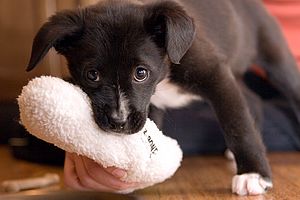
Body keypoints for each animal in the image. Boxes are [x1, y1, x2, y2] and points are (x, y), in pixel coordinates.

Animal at [26, 0, 300, 195]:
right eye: (92, 75)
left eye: (141, 73)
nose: (118, 122)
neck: (165, 68)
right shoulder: (148, 107)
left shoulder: (217, 75)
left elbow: (238, 126)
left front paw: (254, 174)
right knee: (253, 100)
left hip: (274, 54)